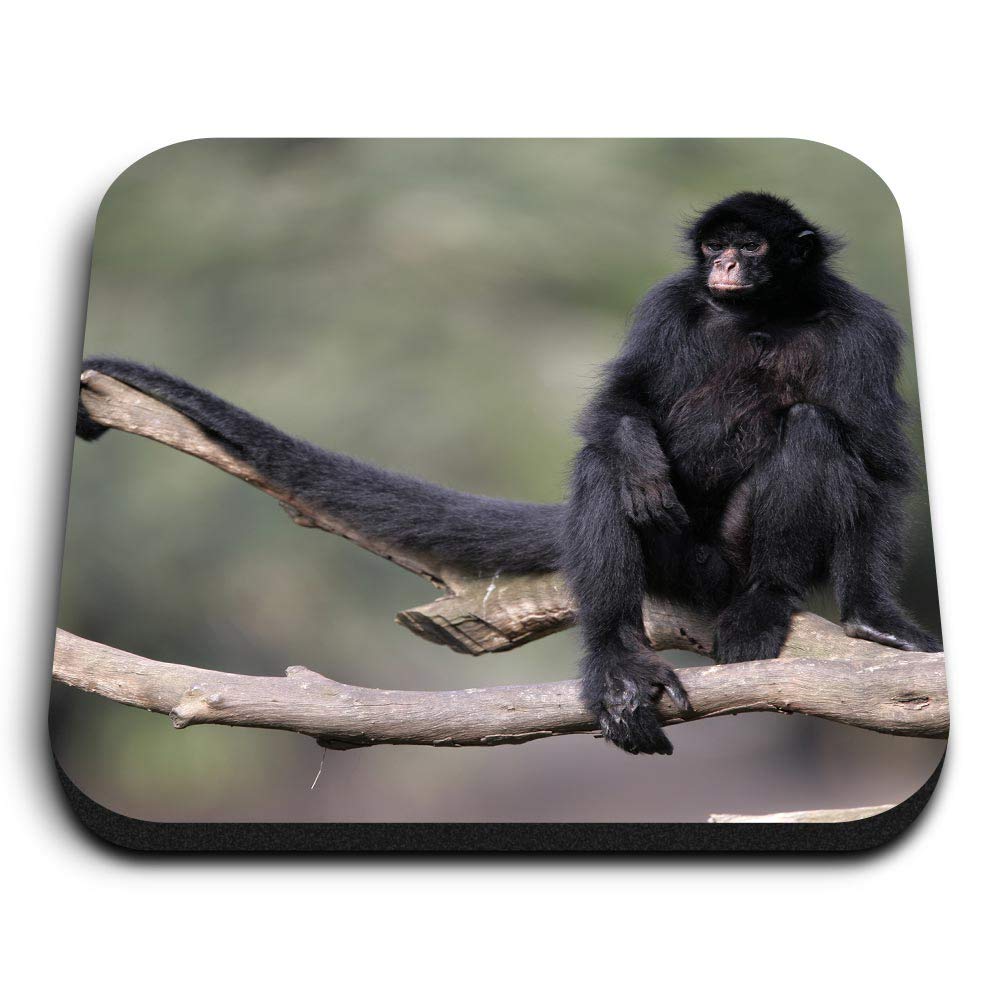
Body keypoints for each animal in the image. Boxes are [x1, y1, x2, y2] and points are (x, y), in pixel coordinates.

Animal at [75, 191, 941, 756]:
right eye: (712, 249)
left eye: (752, 247)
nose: (726, 261)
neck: (760, 315)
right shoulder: (669, 302)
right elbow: (616, 411)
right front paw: (634, 452)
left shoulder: (865, 325)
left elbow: (881, 464)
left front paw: (874, 619)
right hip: (682, 558)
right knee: (605, 469)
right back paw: (617, 659)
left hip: (723, 558)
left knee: (811, 428)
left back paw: (761, 600)